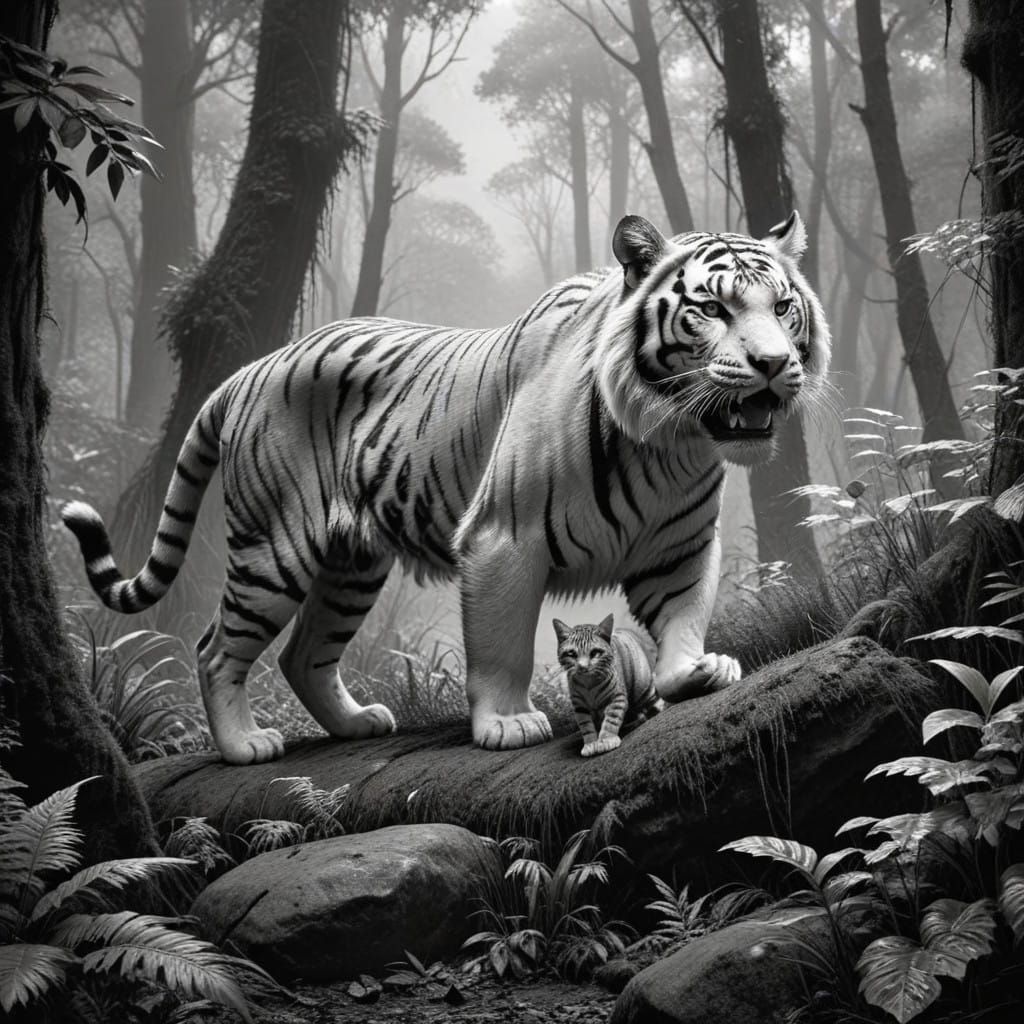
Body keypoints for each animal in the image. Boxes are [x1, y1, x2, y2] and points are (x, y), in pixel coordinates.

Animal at [554, 614, 663, 757]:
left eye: (595, 653)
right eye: (572, 653)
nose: (582, 667)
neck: (588, 683)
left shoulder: (617, 698)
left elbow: (611, 719)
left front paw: (606, 739)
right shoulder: (579, 706)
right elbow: (586, 726)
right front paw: (590, 743)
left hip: (645, 690)